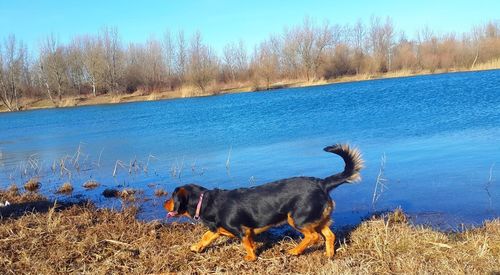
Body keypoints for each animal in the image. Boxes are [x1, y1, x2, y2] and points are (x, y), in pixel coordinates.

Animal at [164, 146, 364, 262]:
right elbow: (206, 236)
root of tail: (322, 183)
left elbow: (246, 245)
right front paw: (196, 247)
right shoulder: (217, 229)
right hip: (317, 218)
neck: (205, 201)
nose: (164, 203)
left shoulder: (241, 231)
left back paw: (294, 251)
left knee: (313, 237)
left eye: (172, 197)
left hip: (296, 218)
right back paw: (329, 254)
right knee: (329, 235)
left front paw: (251, 257)